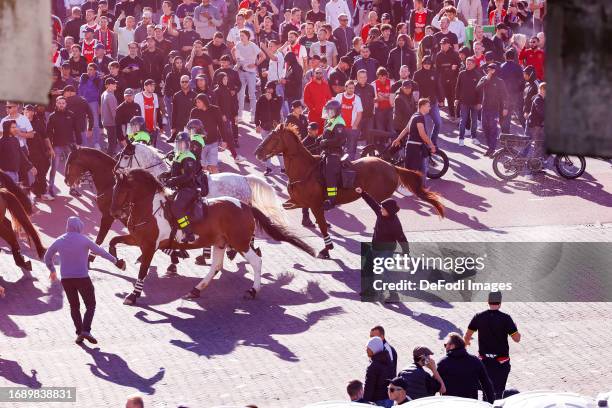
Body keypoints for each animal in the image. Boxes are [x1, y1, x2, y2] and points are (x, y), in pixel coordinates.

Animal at [108, 167, 316, 304]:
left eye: (121, 190)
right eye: (114, 189)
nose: (113, 213)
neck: (151, 209)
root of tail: (246, 206)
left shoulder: (150, 245)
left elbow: (143, 271)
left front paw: (133, 295)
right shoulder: (138, 240)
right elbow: (113, 241)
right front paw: (119, 262)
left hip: (240, 242)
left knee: (256, 261)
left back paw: (252, 290)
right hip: (220, 242)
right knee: (216, 265)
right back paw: (196, 289)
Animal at [253, 124, 444, 258]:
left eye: (272, 138)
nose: (257, 152)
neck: (305, 170)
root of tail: (392, 166)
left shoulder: (315, 205)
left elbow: (322, 225)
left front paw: (326, 249)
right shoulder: (299, 202)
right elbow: (283, 206)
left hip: (379, 200)